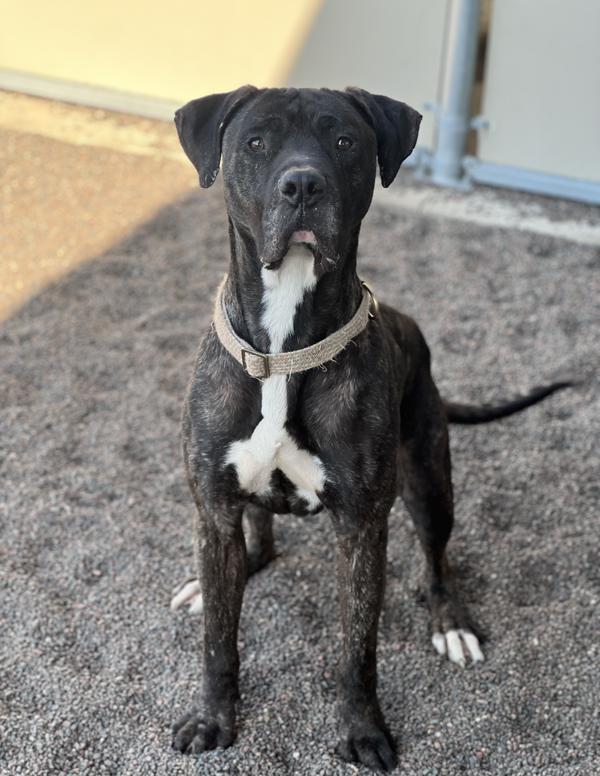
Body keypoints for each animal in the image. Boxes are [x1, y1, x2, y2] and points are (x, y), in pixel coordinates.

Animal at [168, 86, 568, 768]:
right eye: (256, 142)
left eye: (344, 141)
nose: (303, 184)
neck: (283, 348)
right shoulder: (214, 509)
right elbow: (219, 639)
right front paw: (214, 717)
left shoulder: (361, 528)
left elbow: (358, 650)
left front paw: (363, 731)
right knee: (256, 542)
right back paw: (220, 577)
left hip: (430, 480)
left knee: (438, 560)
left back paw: (450, 623)